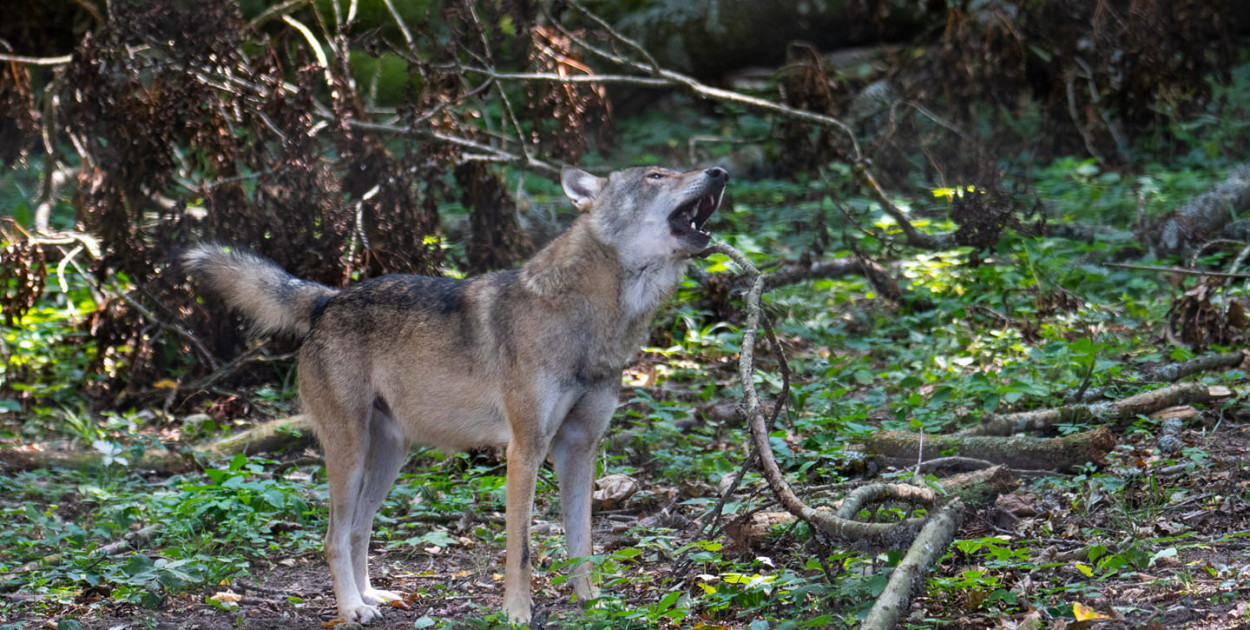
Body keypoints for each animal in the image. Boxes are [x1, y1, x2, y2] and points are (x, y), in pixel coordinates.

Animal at [186, 165, 730, 622]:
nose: (719, 171)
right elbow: (521, 550)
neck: (591, 322)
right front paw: (517, 614)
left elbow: (583, 543)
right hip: (350, 453)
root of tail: (329, 298)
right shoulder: (525, 450)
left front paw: (591, 604)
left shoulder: (580, 449)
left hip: (388, 459)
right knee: (333, 536)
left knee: (360, 529)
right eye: (656, 176)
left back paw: (372, 596)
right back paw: (352, 609)